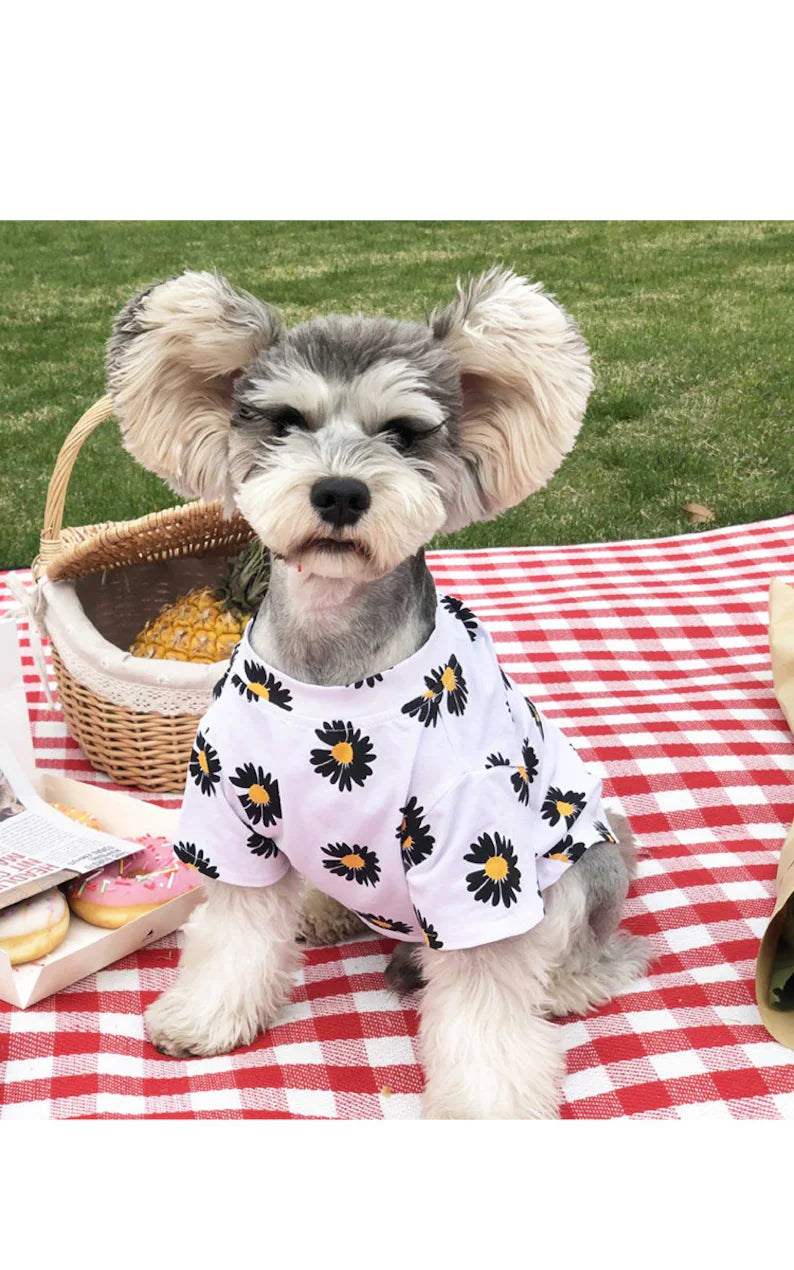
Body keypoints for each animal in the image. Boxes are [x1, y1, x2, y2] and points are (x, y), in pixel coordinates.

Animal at [103, 265, 650, 1112]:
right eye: (285, 422)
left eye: (403, 432)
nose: (340, 492)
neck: (332, 670)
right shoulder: (234, 821)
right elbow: (233, 935)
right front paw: (206, 1015)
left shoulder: (475, 867)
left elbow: (486, 1007)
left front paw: (487, 1103)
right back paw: (326, 908)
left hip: (575, 875)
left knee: (586, 958)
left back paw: (561, 984)